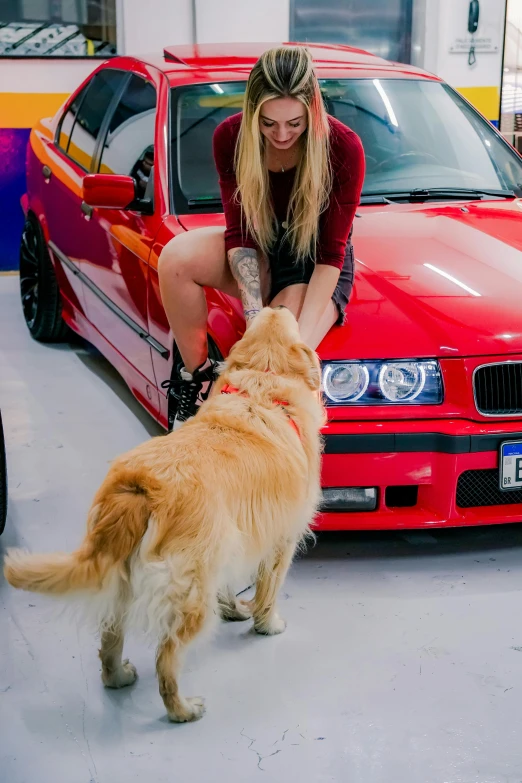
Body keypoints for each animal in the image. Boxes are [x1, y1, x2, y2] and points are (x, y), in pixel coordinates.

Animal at [4, 306, 322, 724]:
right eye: (287, 323)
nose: (277, 306)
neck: (260, 387)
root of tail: (141, 486)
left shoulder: (232, 542)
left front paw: (235, 610)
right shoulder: (280, 540)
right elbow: (268, 591)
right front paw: (268, 625)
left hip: (124, 581)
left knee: (109, 640)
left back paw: (118, 676)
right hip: (189, 594)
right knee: (166, 657)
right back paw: (182, 709)